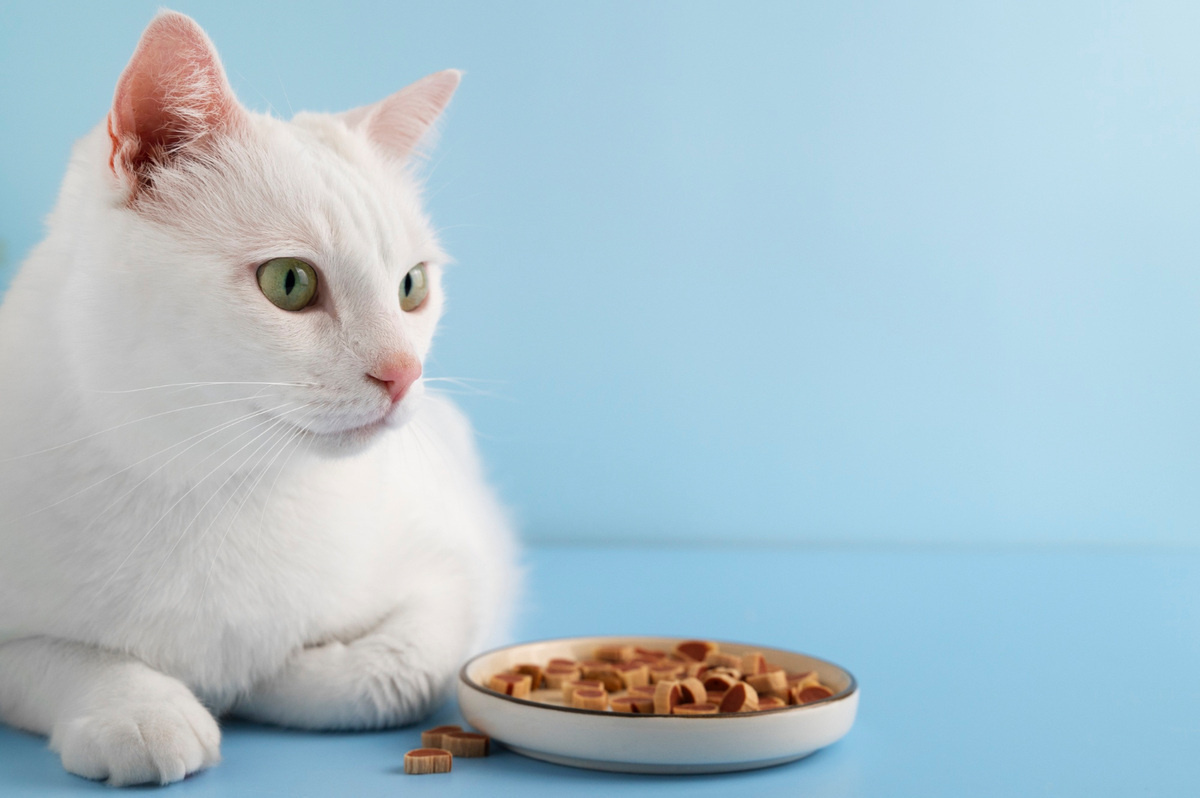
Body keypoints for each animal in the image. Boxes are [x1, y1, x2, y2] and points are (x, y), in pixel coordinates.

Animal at [0, 10, 518, 782]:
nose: (403, 373)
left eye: (412, 286)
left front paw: (269, 675)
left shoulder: (460, 562)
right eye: (289, 283)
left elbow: (400, 673)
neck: (213, 487)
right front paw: (140, 708)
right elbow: (58, 656)